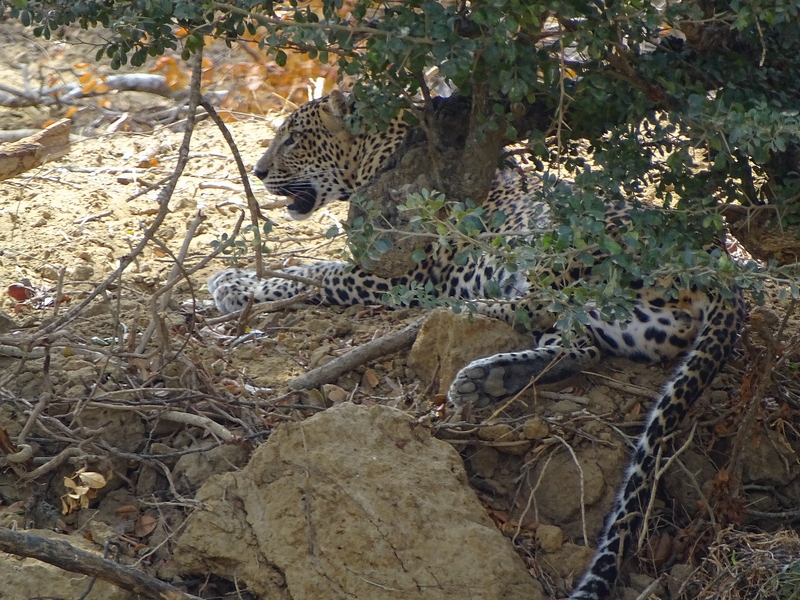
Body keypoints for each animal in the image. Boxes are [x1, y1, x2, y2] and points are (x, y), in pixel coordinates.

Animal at [207, 90, 745, 600]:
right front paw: (231, 280)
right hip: (623, 320)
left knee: (536, 306)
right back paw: (490, 377)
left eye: (294, 139)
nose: (258, 171)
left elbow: (311, 276)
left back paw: (462, 311)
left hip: (558, 246)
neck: (382, 154)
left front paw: (232, 285)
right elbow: (305, 270)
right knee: (577, 345)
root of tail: (717, 263)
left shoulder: (391, 277)